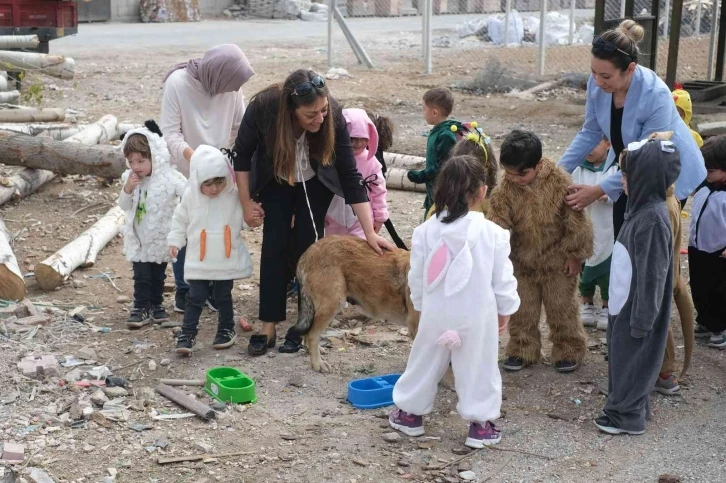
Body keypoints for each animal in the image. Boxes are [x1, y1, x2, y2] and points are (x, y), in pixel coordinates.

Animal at [288, 236, 418, 372]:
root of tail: (307, 253)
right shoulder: (415, 325)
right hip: (332, 304)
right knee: (312, 335)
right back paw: (318, 363)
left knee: (308, 333)